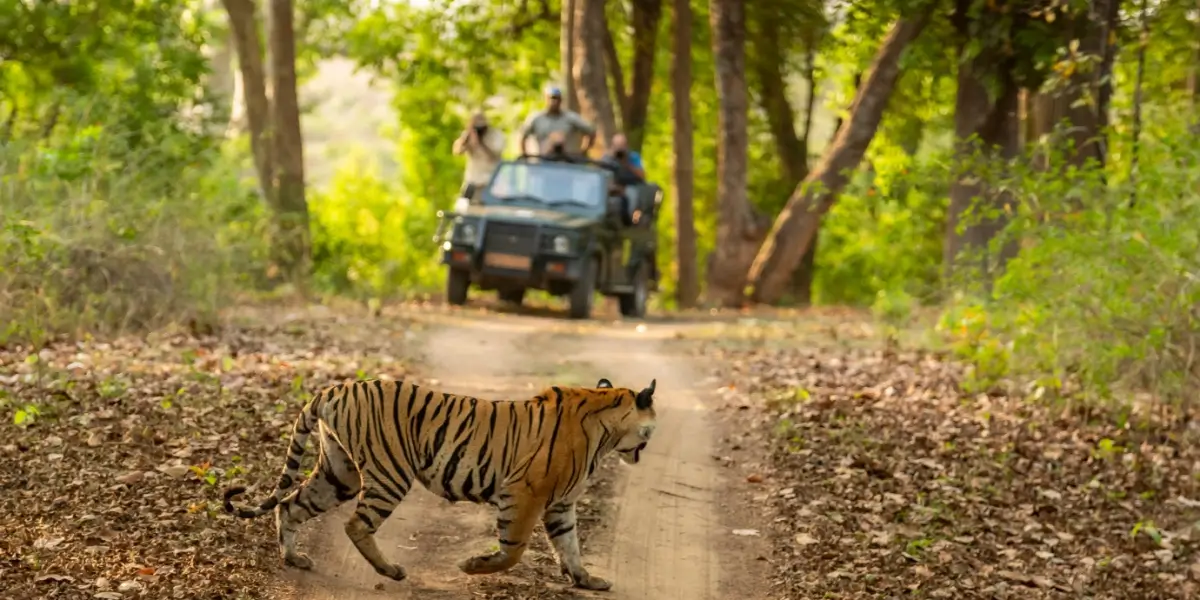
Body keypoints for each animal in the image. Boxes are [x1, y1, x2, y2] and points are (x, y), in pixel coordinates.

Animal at [222, 376, 657, 591]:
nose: (650, 441)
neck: (606, 428)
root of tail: (333, 388)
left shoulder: (561, 504)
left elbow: (570, 546)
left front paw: (588, 581)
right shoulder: (524, 493)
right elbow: (513, 550)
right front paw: (473, 566)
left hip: (338, 472)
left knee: (290, 504)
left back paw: (294, 558)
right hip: (390, 473)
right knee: (356, 524)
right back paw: (391, 571)